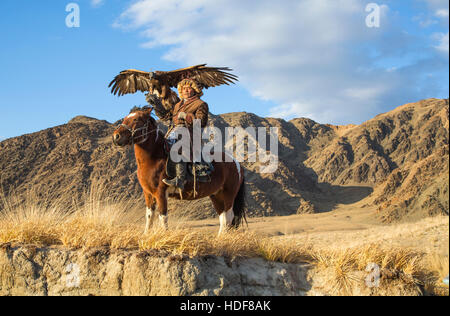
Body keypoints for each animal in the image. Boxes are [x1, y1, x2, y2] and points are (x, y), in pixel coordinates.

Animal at [112, 107, 246, 236]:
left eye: (136, 119)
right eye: (125, 118)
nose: (116, 137)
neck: (154, 159)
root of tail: (236, 163)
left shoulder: (160, 193)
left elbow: (163, 217)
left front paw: (164, 235)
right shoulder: (148, 193)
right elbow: (149, 216)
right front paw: (146, 235)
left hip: (228, 194)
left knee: (229, 217)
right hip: (216, 195)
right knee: (223, 217)